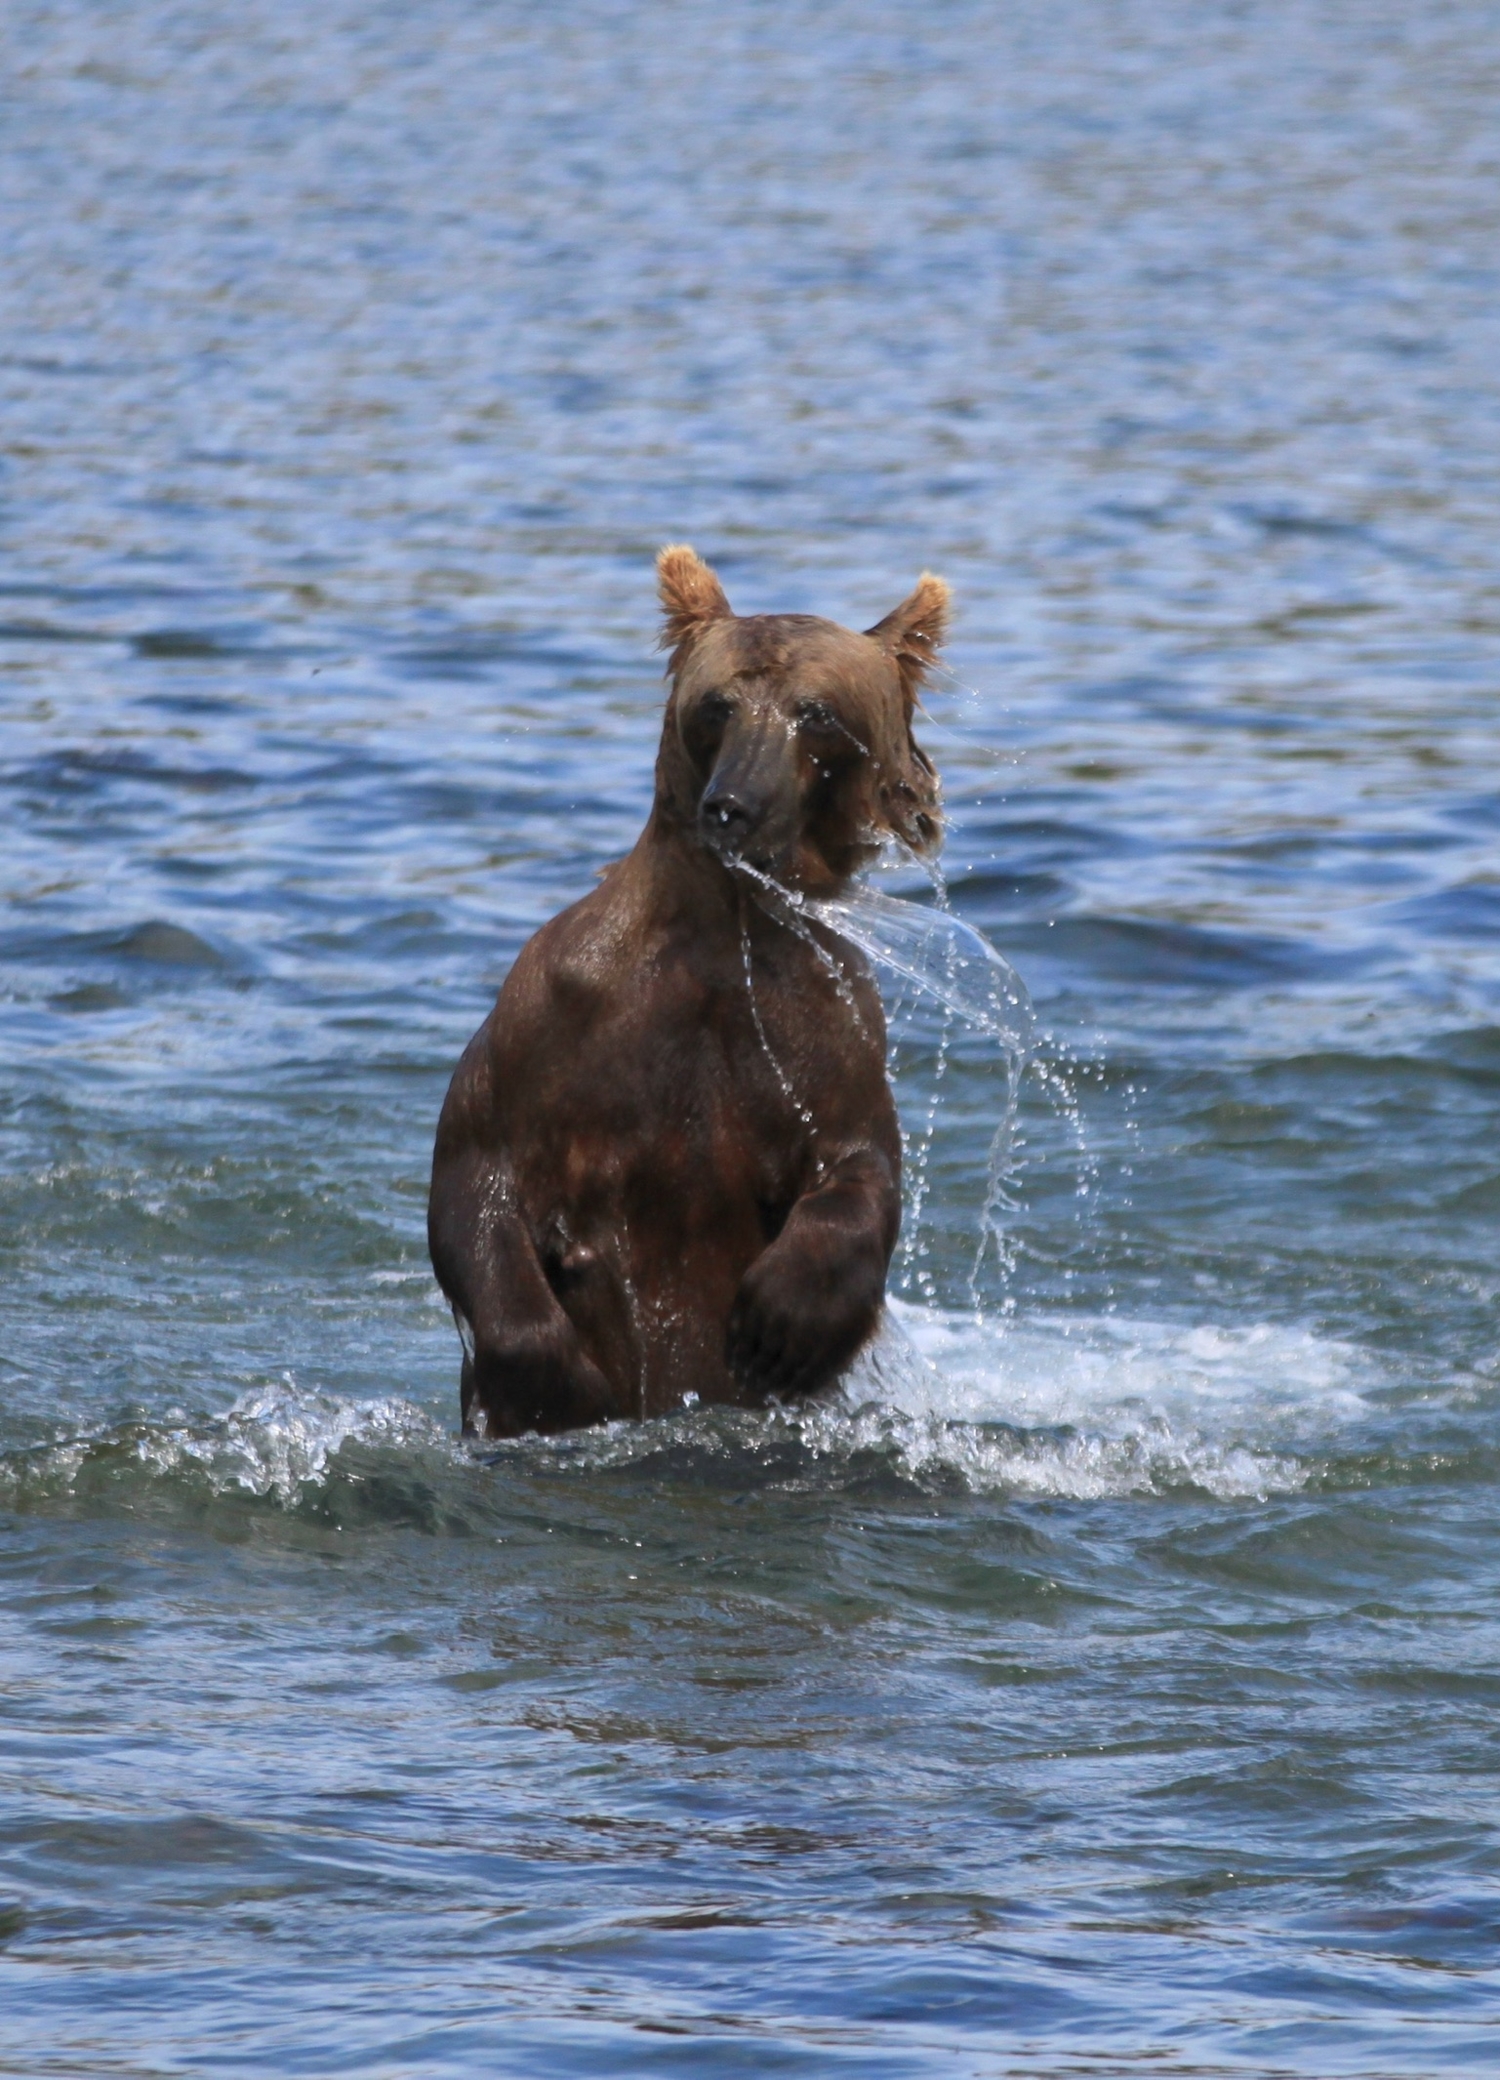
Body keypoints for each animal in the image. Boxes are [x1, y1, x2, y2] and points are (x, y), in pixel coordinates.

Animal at [426, 544, 940, 1439]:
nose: (735, 806)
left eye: (816, 713)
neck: (721, 930)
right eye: (717, 703)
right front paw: (552, 1384)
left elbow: (859, 1164)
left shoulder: (823, 1026)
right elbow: (474, 1174)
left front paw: (780, 1323)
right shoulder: (554, 1015)